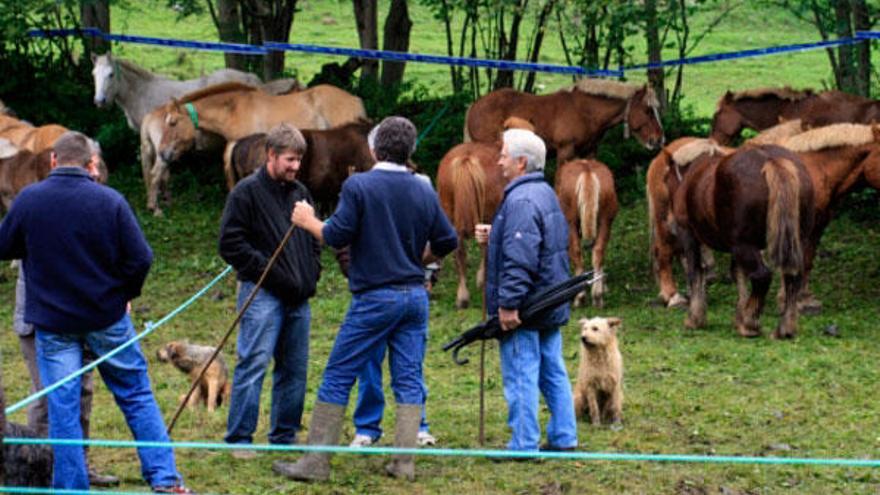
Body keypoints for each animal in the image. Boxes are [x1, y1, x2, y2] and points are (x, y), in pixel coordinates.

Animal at [91, 53, 300, 215]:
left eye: (110, 74)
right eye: (94, 74)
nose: (99, 101)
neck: (145, 93)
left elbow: (160, 173)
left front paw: (162, 200)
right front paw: (165, 198)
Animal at [468, 79, 660, 161]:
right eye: (648, 110)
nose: (659, 139)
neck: (585, 112)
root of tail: (474, 106)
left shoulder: (589, 153)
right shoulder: (566, 152)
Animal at [556, 160, 620, 306]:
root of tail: (587, 171)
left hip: (570, 222)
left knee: (576, 251)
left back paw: (580, 297)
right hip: (605, 219)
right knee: (598, 251)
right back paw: (598, 296)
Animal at [672, 143, 812, 338]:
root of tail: (772, 160)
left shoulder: (689, 234)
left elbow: (695, 272)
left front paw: (695, 318)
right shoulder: (734, 246)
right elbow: (738, 275)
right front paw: (739, 315)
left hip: (744, 244)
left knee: (762, 276)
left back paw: (750, 323)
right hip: (797, 241)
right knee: (793, 276)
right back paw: (785, 327)